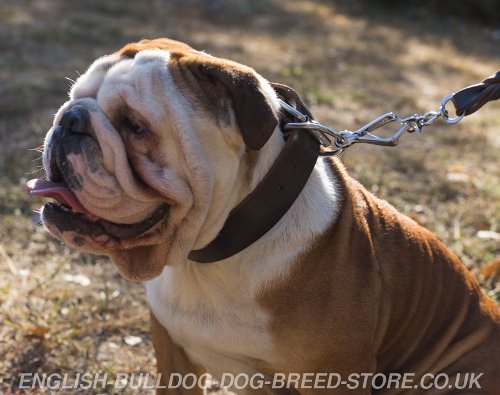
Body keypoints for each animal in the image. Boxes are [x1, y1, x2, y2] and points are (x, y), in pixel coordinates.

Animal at [26, 39, 500, 395]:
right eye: (73, 98)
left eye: (134, 126)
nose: (68, 120)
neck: (214, 256)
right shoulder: (173, 354)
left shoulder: (335, 375)